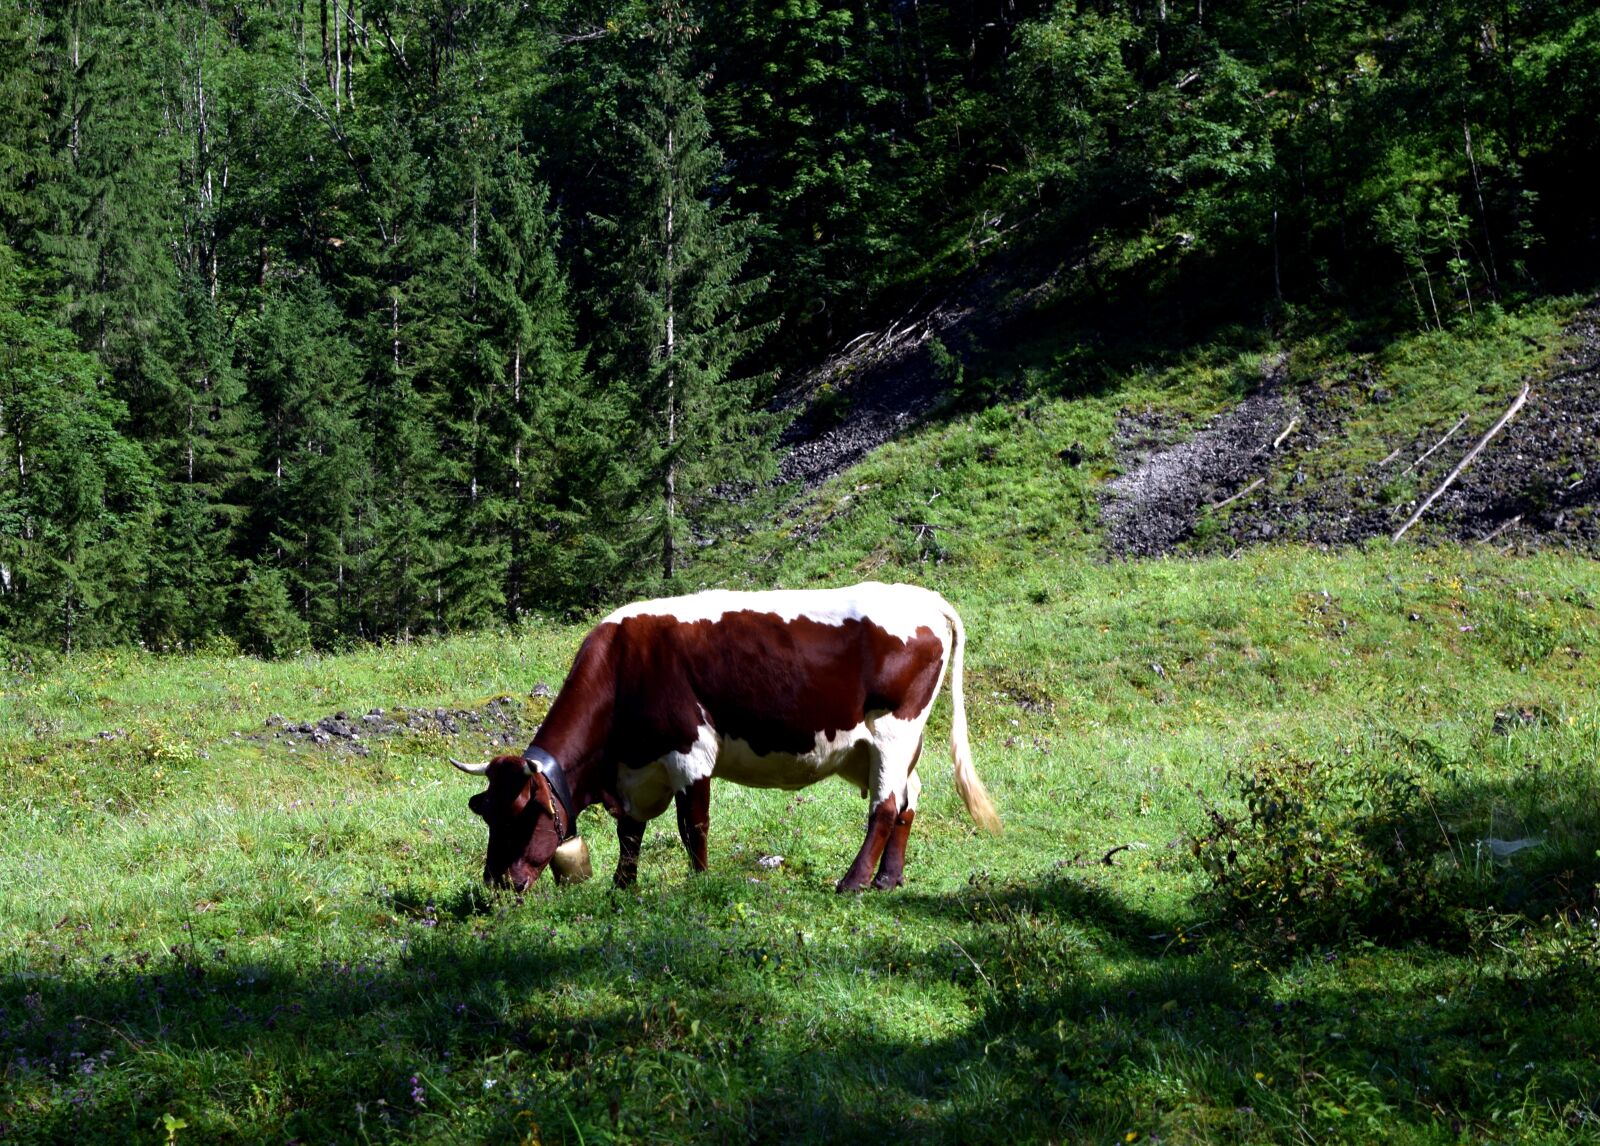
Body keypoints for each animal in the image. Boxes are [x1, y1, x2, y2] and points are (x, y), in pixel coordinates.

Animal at [449, 581, 1000, 893]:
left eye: (522, 814)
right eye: (488, 815)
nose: (496, 885)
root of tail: (922, 596)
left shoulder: (689, 755)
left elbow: (692, 826)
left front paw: (698, 884)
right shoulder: (636, 771)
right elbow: (630, 832)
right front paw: (621, 888)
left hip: (892, 729)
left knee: (884, 807)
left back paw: (854, 881)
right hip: (892, 743)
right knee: (909, 799)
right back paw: (890, 878)